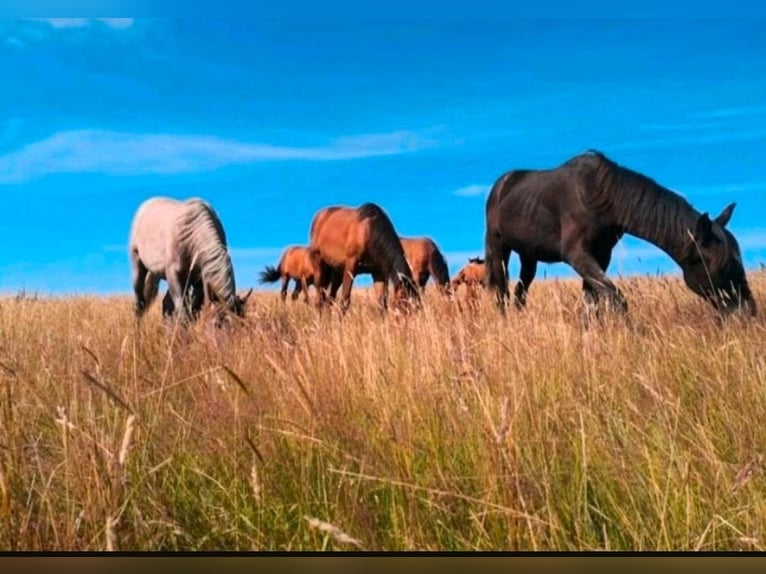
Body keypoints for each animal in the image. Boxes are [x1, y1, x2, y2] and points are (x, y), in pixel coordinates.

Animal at [484, 150, 757, 318]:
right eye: (724, 267)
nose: (749, 312)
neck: (603, 195)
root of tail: (502, 184)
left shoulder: (601, 255)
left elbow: (592, 301)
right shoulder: (577, 255)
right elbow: (616, 299)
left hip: (528, 255)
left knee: (520, 291)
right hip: (498, 247)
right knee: (501, 291)